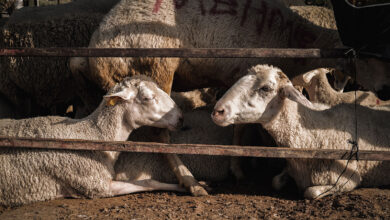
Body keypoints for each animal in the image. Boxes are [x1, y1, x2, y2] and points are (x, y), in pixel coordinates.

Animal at [0, 75, 186, 206]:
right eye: (147, 98)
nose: (180, 117)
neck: (94, 136)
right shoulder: (96, 185)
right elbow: (148, 182)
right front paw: (184, 186)